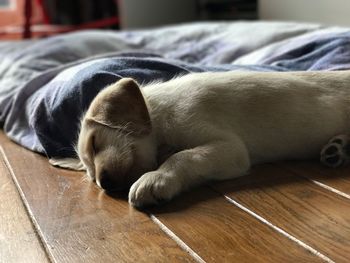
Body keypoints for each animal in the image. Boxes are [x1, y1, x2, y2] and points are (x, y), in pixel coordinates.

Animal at [50, 71, 350, 207]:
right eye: (90, 178)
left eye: (95, 144)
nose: (106, 185)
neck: (161, 117)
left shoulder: (231, 149)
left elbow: (182, 156)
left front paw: (155, 179)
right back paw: (338, 149)